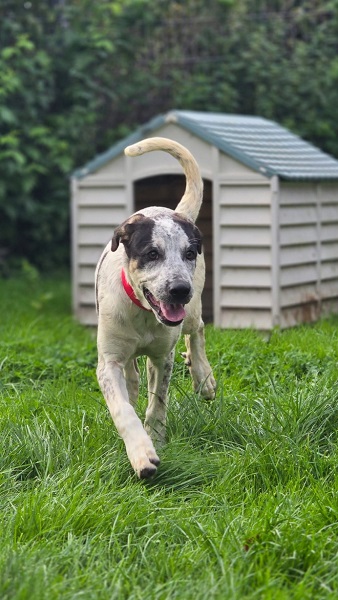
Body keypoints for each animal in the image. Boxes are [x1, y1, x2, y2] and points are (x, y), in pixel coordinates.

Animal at [95, 137, 217, 478]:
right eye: (151, 253)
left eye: (189, 253)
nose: (179, 290)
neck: (143, 314)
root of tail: (173, 211)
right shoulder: (108, 362)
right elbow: (123, 409)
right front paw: (141, 453)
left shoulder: (163, 355)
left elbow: (158, 401)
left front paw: (155, 438)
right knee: (133, 376)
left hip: (191, 312)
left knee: (197, 329)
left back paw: (203, 377)